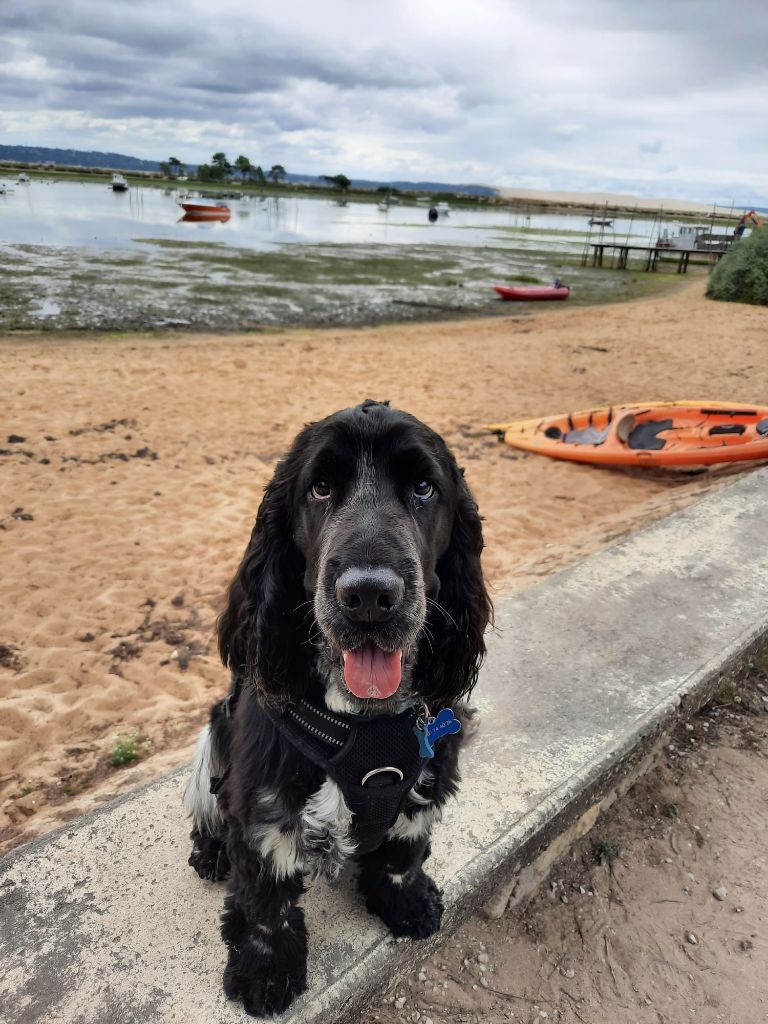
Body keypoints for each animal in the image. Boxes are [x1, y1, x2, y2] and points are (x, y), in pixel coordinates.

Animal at [183, 399, 489, 1015]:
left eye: (424, 487)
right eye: (320, 488)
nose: (369, 594)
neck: (362, 722)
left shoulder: (426, 780)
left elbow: (402, 855)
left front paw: (408, 904)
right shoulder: (264, 807)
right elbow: (266, 903)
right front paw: (265, 974)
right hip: (215, 733)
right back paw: (210, 852)